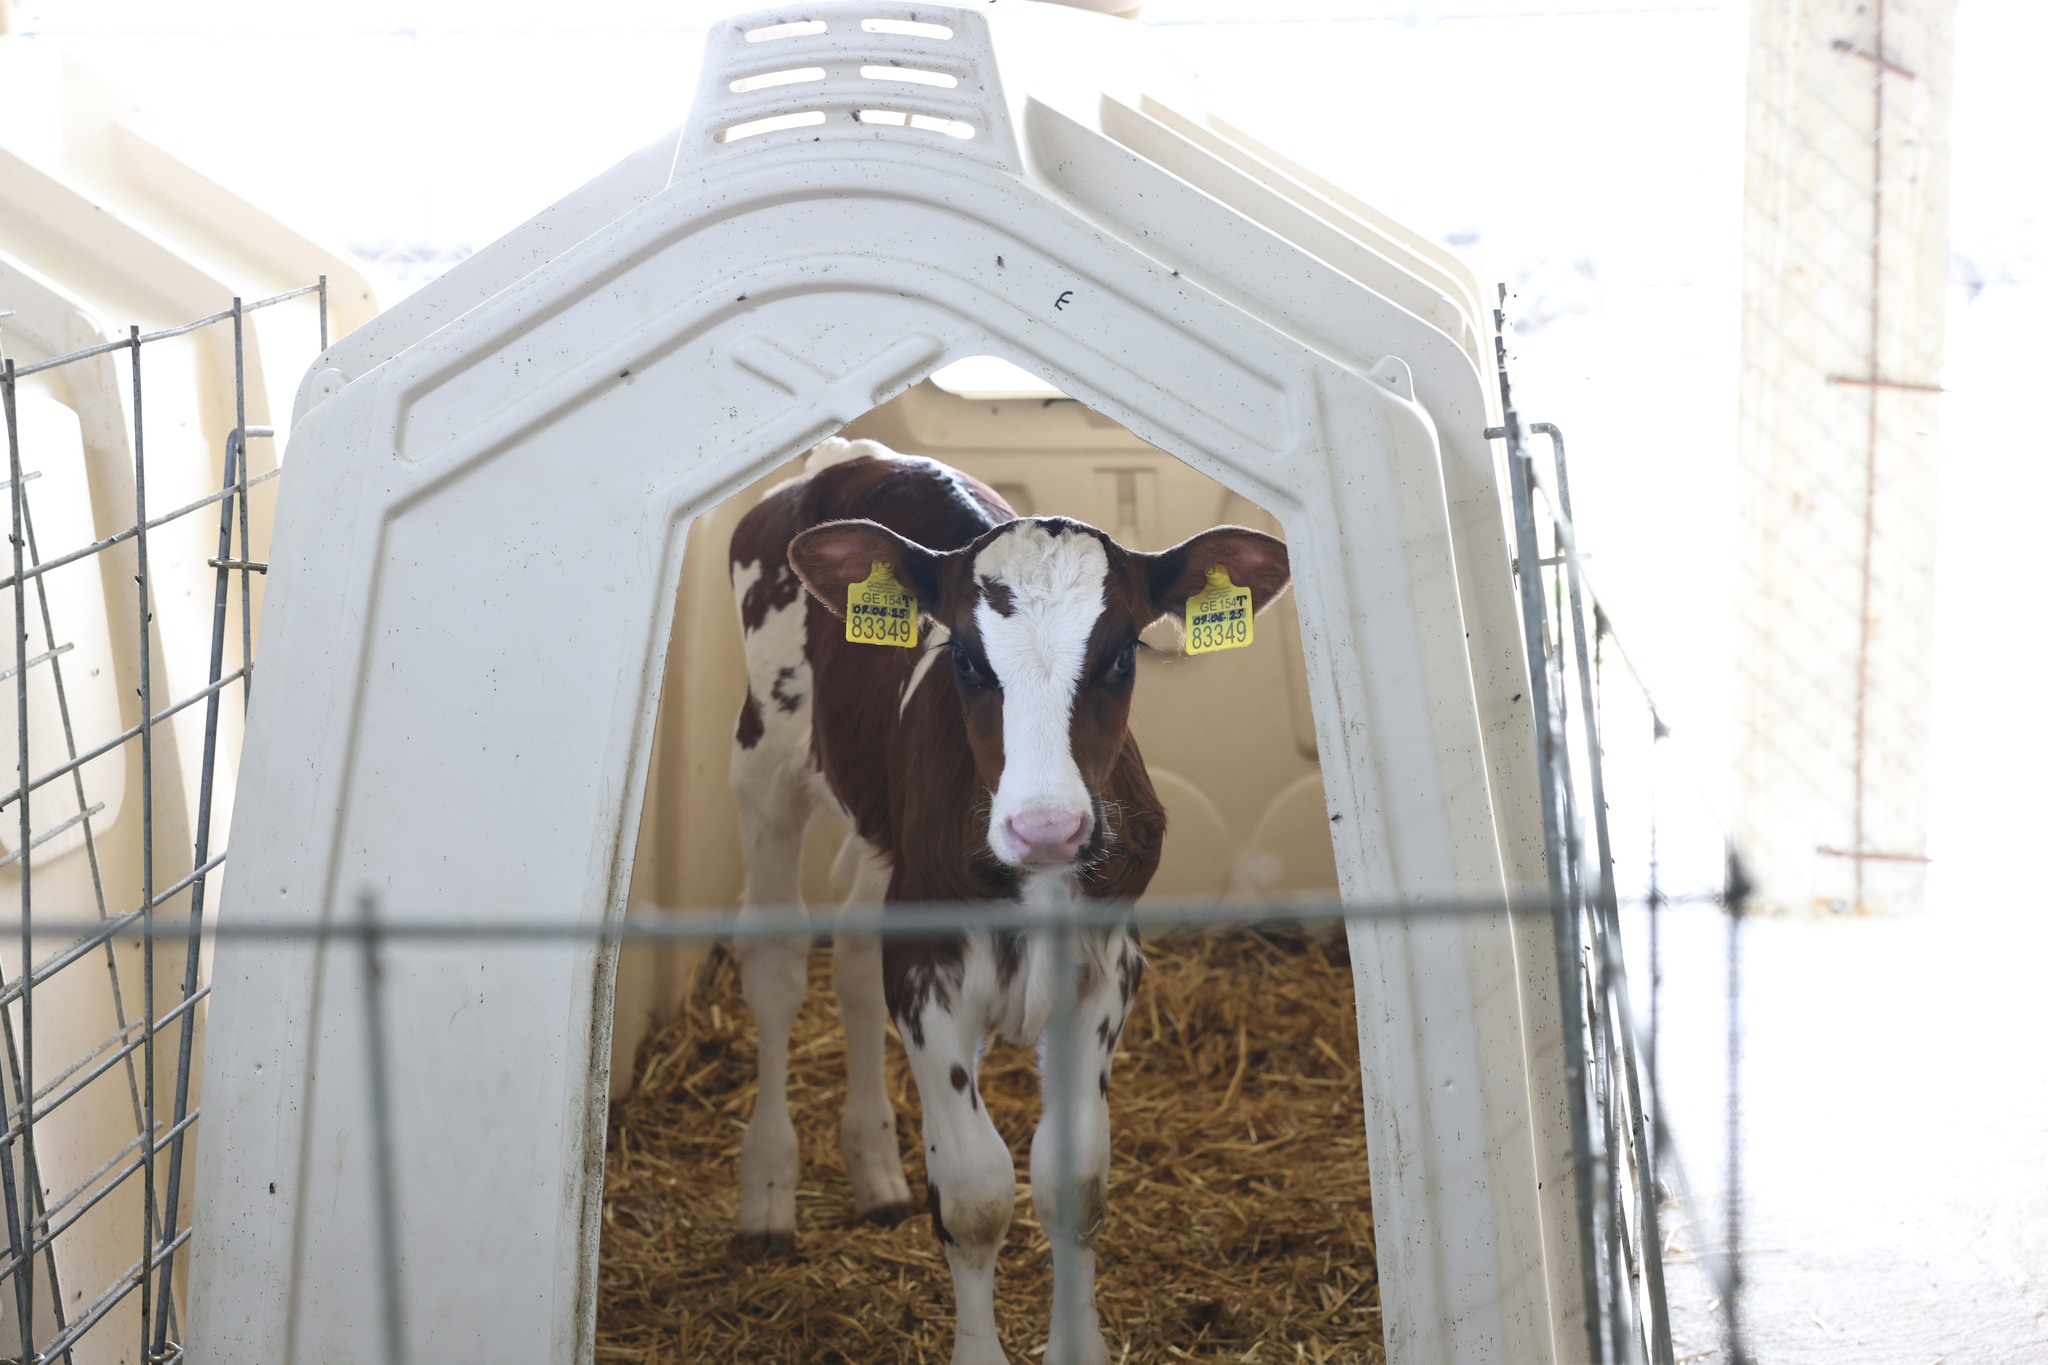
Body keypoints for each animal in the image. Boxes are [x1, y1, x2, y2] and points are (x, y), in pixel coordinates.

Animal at [725, 436, 1291, 1365]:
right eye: (963, 657)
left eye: (1122, 655)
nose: (1047, 825)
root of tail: (853, 452)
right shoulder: (927, 971)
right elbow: (976, 1191)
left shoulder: (1105, 970)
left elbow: (1073, 1181)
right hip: (766, 757)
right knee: (775, 962)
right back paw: (769, 1187)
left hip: (880, 838)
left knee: (851, 945)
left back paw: (876, 1167)